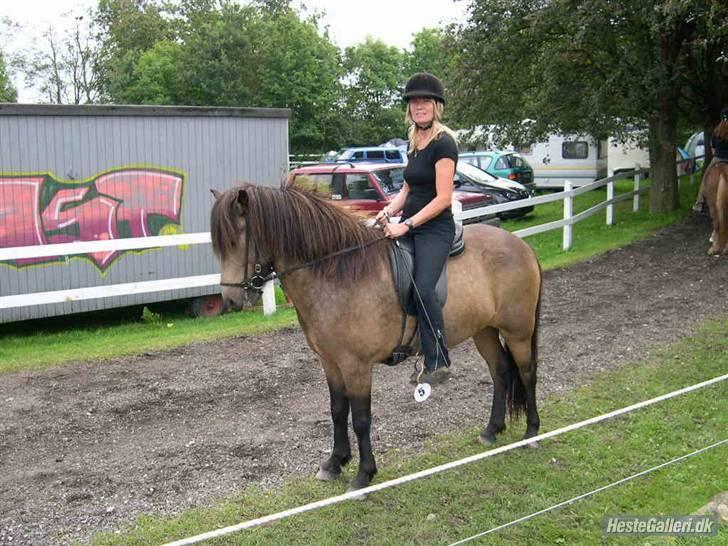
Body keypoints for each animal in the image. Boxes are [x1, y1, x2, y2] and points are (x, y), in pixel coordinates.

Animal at [210, 185, 540, 490]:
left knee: (527, 373)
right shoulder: (330, 362)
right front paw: (334, 463)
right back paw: (492, 430)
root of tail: (520, 245)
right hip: (484, 330)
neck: (337, 273)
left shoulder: (357, 366)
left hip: (518, 332)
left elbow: (361, 419)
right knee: (500, 371)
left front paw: (363, 474)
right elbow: (337, 410)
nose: (230, 300)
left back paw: (532, 432)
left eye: (238, 238)